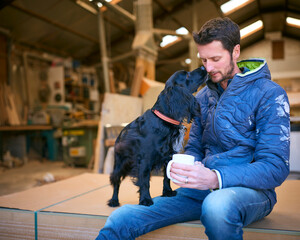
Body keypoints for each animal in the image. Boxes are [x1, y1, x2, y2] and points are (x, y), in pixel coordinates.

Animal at [106, 67, 207, 206]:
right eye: (186, 75)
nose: (203, 67)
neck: (164, 120)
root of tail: (119, 135)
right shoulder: (144, 160)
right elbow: (144, 181)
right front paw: (145, 199)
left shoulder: (168, 156)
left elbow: (166, 177)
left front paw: (167, 192)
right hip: (120, 163)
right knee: (116, 181)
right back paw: (114, 200)